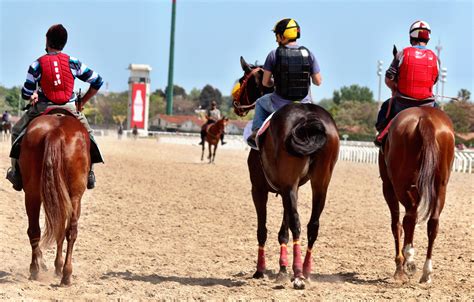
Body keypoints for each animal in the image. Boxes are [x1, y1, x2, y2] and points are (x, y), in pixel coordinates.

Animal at [18, 110, 90, 286]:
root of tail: (55, 131)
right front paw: (57, 266)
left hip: (32, 193)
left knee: (35, 230)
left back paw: (37, 269)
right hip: (74, 196)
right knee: (69, 231)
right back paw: (64, 274)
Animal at [234, 57, 338, 290]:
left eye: (243, 80)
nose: (236, 104)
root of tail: (308, 119)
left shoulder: (260, 189)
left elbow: (263, 229)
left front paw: (260, 270)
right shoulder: (287, 189)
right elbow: (284, 230)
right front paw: (282, 269)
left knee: (298, 224)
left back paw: (298, 275)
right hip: (321, 184)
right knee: (312, 225)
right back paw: (305, 271)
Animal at [378, 46, 456, 284]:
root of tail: (425, 119)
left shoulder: (387, 185)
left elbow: (395, 223)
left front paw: (399, 266)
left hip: (401, 182)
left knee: (408, 216)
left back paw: (408, 260)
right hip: (440, 183)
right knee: (433, 221)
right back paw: (426, 271)